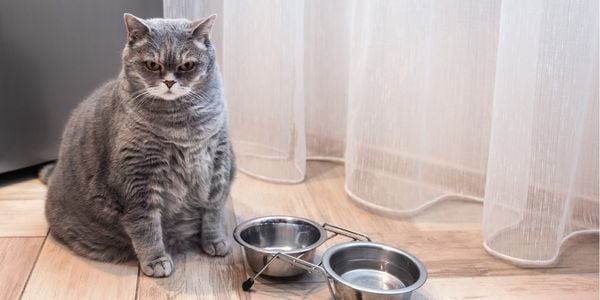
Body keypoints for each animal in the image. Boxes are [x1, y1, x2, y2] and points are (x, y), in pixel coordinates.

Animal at [39, 12, 234, 278]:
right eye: (152, 65)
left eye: (186, 66)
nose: (169, 82)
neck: (183, 127)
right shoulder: (138, 179)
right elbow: (145, 226)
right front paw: (156, 260)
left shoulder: (218, 163)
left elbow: (213, 211)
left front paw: (215, 241)